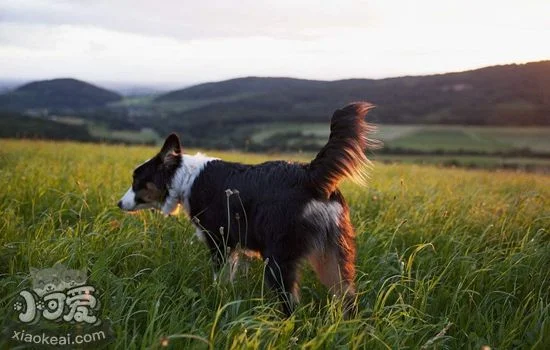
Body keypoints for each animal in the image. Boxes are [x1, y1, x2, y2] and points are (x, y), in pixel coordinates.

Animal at [119, 102, 380, 316]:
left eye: (137, 180)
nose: (119, 203)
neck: (186, 178)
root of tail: (310, 175)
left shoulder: (220, 242)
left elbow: (220, 278)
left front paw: (217, 299)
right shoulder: (236, 247)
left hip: (278, 260)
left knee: (291, 304)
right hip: (332, 255)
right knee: (348, 297)